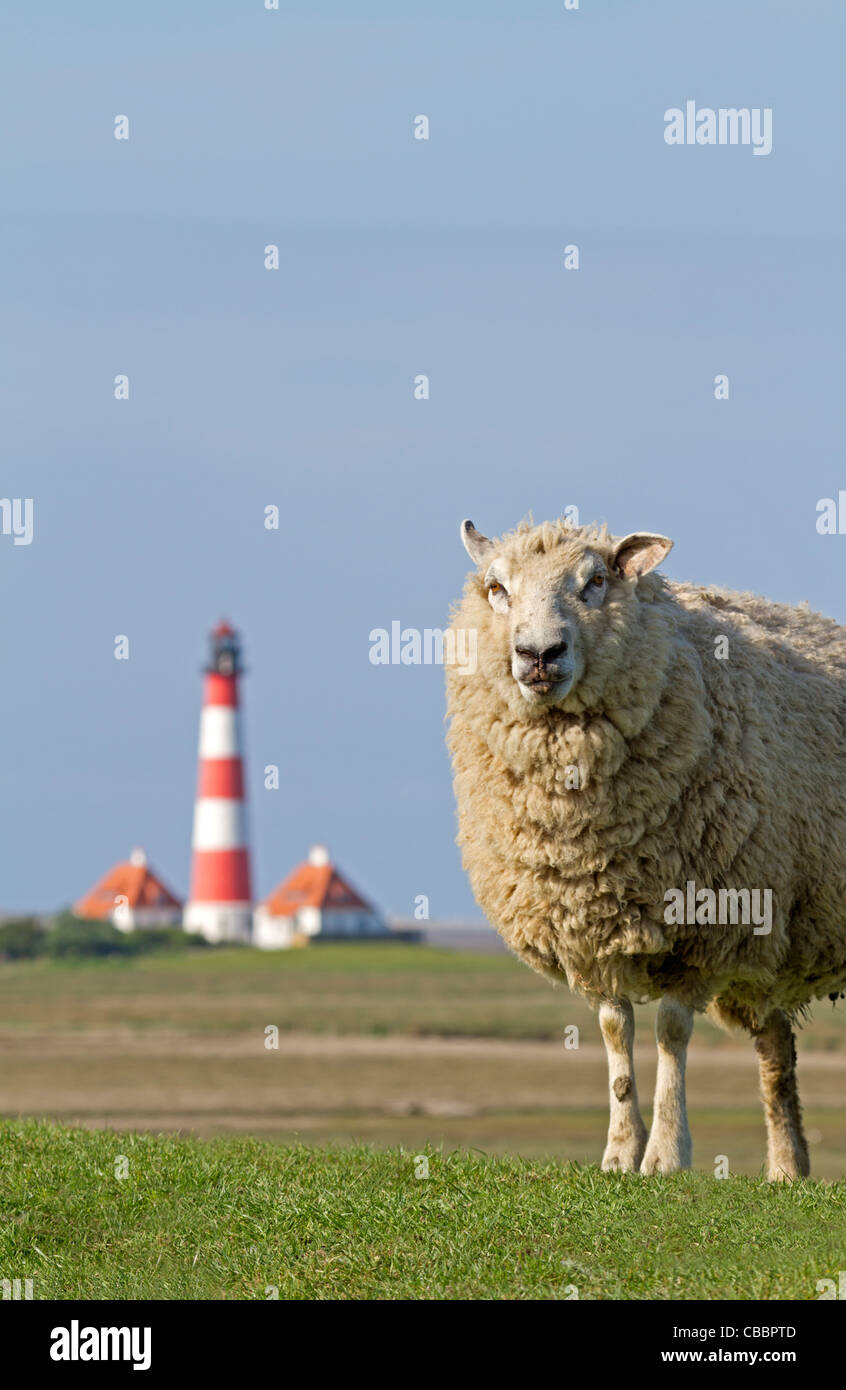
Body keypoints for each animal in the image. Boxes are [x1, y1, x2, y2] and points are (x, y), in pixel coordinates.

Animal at [441, 517, 844, 1178]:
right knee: (775, 1049)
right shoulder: (592, 928)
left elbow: (672, 1033)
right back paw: (788, 1169)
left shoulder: (703, 927)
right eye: (496, 587)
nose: (538, 655)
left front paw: (666, 1154)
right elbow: (615, 1034)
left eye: (596, 581)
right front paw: (619, 1151)